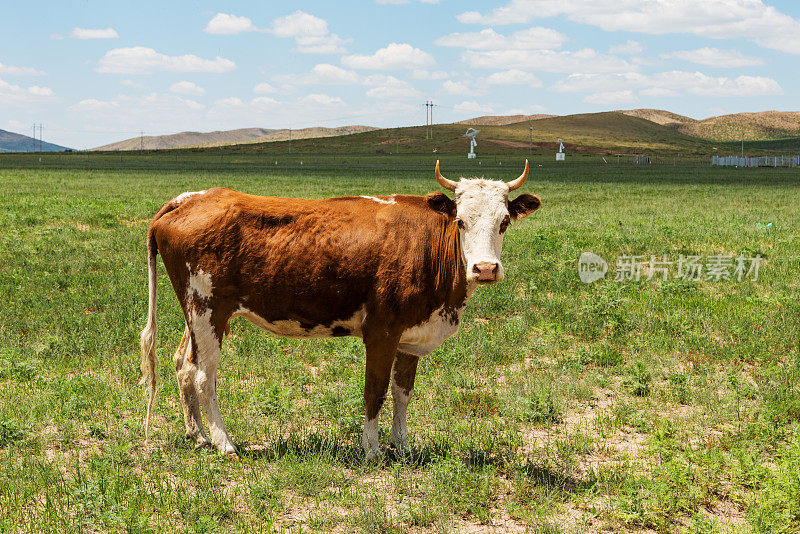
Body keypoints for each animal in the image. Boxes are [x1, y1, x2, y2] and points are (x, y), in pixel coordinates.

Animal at [141, 160, 540, 460]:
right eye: (461, 221)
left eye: (504, 222)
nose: (485, 269)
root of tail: (188, 199)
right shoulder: (381, 330)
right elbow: (375, 390)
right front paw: (372, 450)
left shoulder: (412, 336)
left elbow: (403, 392)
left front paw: (403, 447)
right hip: (206, 310)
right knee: (204, 375)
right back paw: (223, 442)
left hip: (198, 314)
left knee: (183, 363)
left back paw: (197, 434)